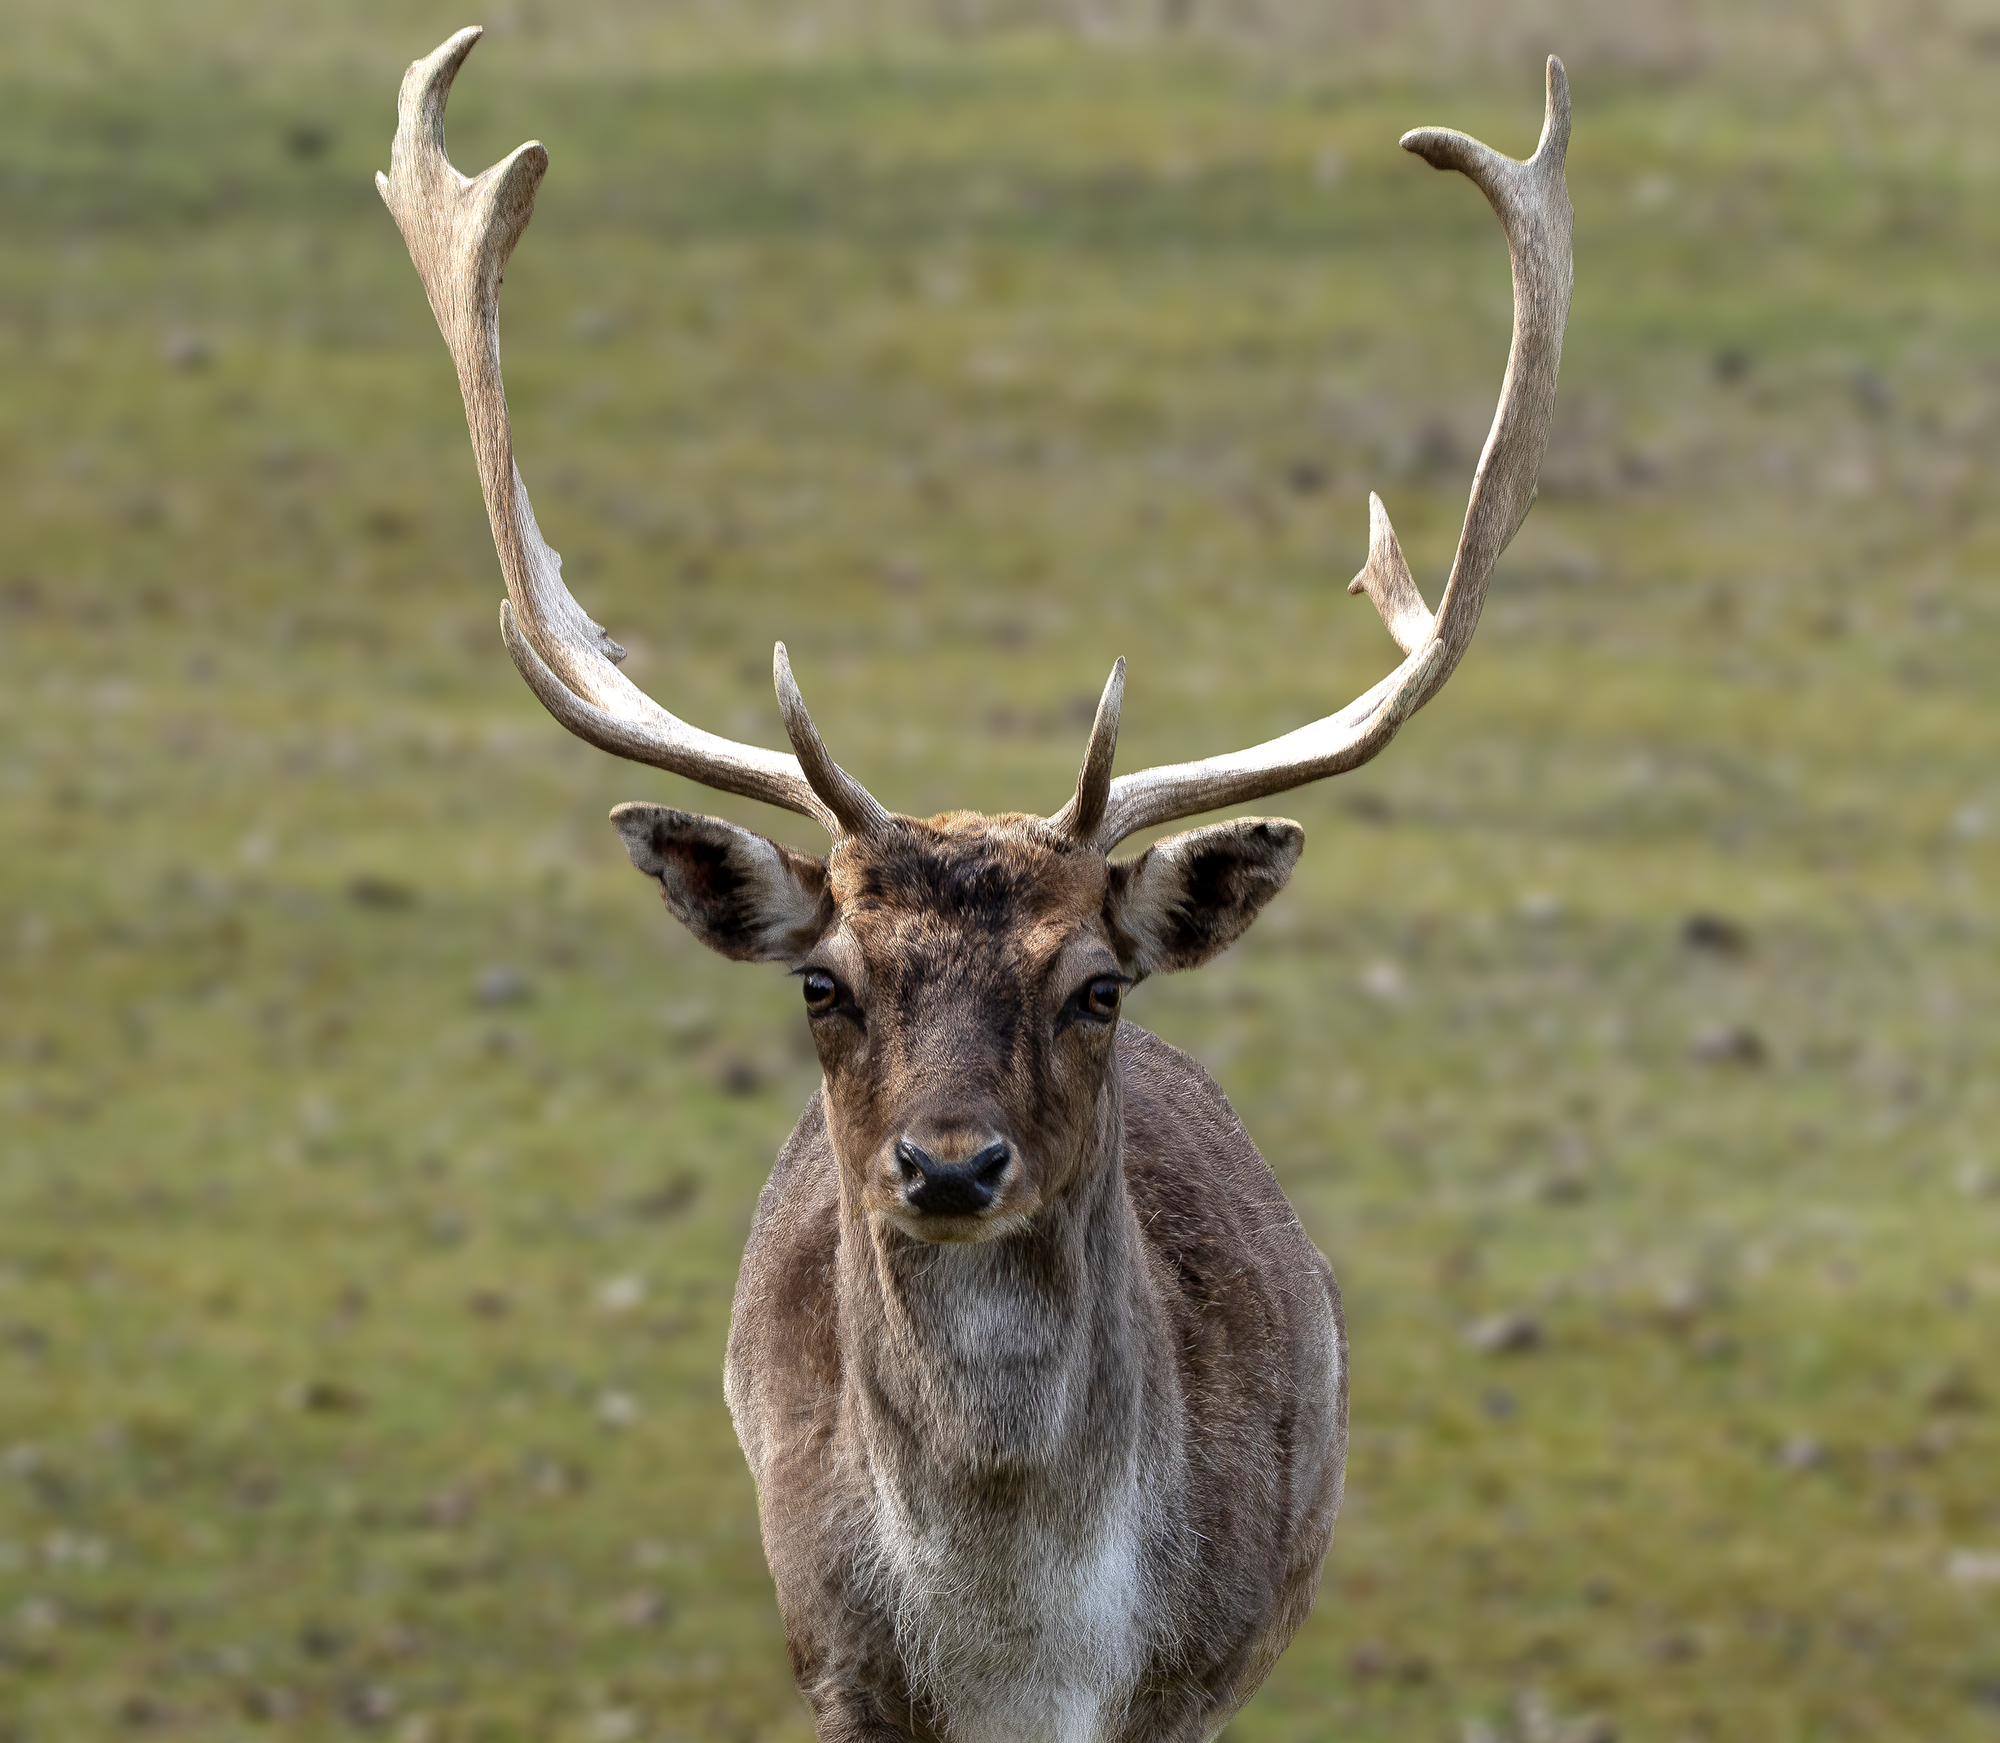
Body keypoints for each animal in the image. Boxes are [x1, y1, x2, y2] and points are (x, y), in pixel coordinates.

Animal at [379, 29, 1571, 1742]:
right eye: (824, 978)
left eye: (1096, 982)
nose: (949, 1162)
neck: (1026, 1669)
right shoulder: (837, 1667)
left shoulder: (1195, 1676)